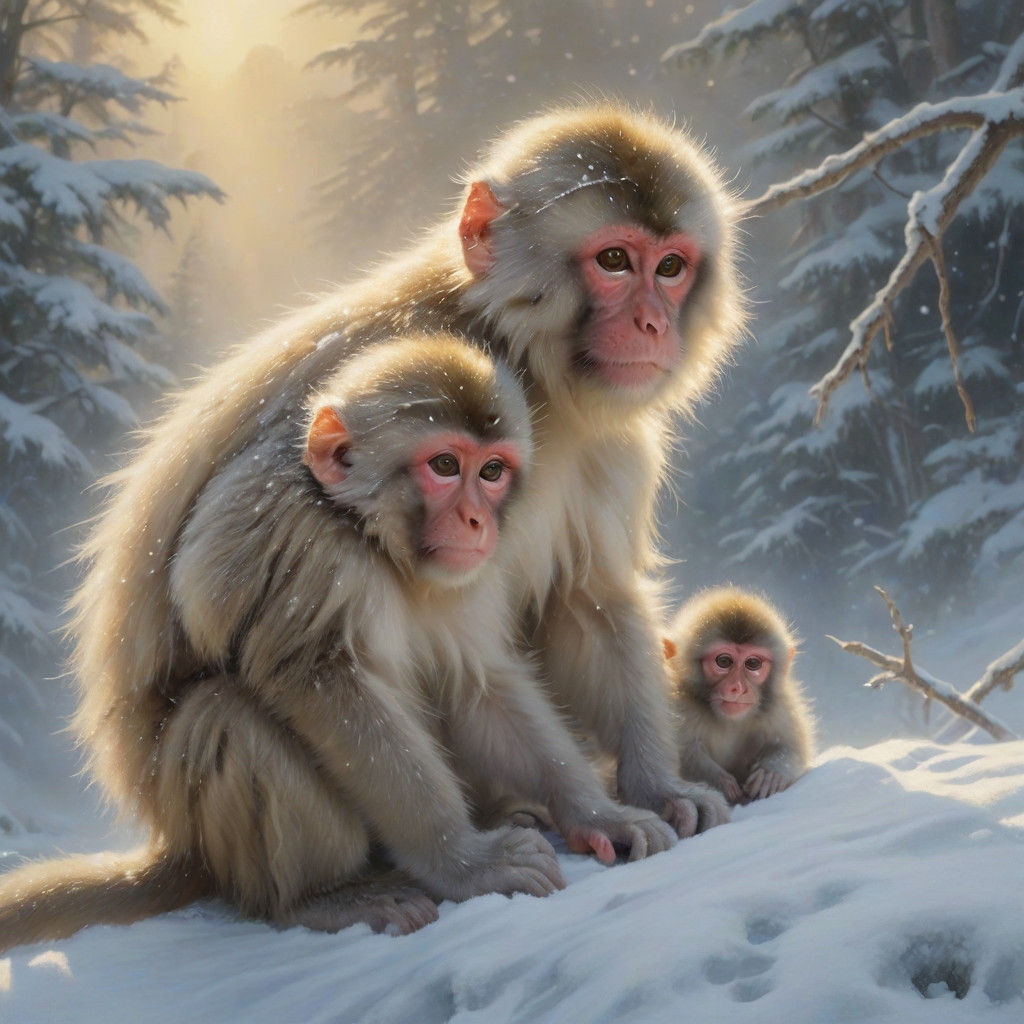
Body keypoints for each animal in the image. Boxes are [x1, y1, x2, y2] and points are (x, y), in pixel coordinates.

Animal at [0, 334, 686, 951]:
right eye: (445, 465)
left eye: (492, 471)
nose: (476, 521)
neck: (371, 540)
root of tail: (178, 846)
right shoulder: (305, 548)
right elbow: (317, 680)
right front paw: (465, 863)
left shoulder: (465, 580)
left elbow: (478, 685)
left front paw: (599, 815)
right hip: (201, 827)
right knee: (226, 715)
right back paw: (322, 897)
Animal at [60, 102, 742, 916]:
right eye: (614, 260)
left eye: (671, 267)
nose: (652, 325)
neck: (525, 363)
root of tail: (172, 842)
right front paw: (465, 863)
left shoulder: (608, 442)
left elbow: (586, 594)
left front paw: (649, 791)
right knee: (223, 713)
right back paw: (331, 896)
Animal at [664, 587, 815, 804]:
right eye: (724, 661)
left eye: (752, 663)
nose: (738, 687)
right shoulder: (677, 701)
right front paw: (718, 781)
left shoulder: (780, 705)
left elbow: (794, 745)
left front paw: (772, 771)